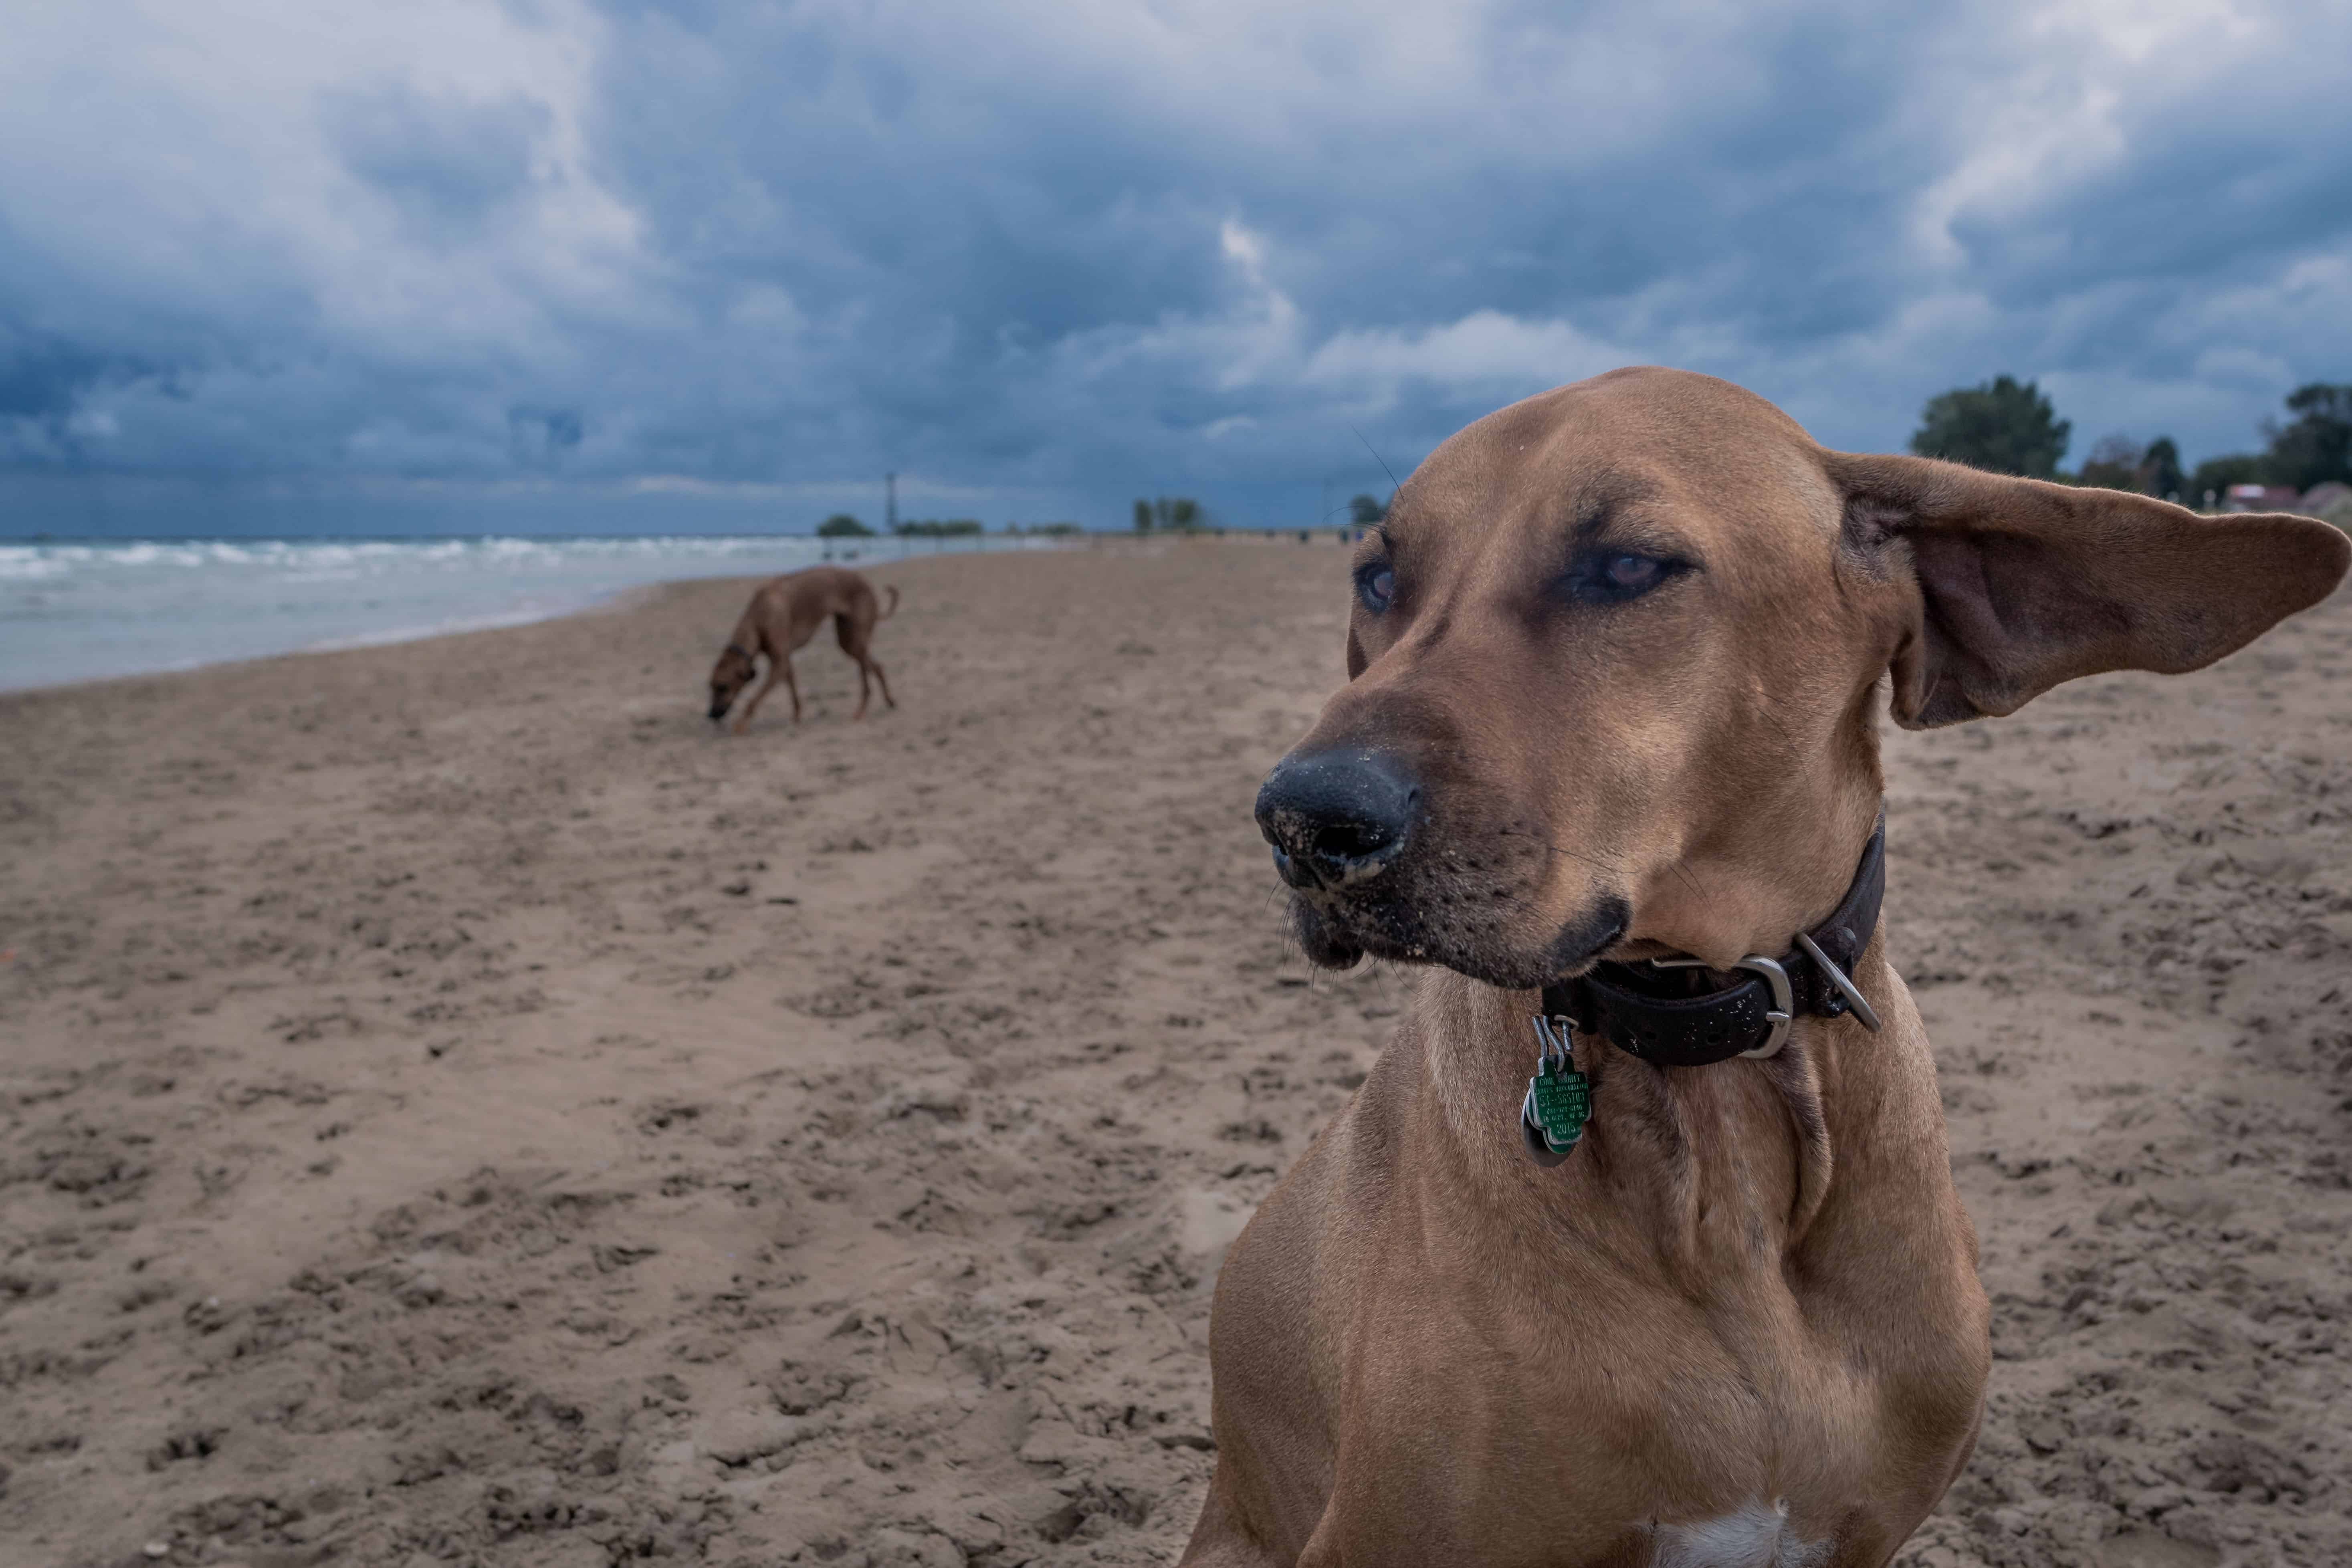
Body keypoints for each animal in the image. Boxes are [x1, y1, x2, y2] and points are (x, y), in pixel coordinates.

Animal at [701, 564, 894, 738]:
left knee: (867, 678)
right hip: (848, 641)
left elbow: (754, 700)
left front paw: (741, 724)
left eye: (723, 687)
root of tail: (865, 582)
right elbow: (793, 690)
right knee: (877, 666)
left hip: (855, 639)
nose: (711, 714)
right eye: (711, 686)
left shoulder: (779, 663)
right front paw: (797, 717)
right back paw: (889, 701)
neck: (758, 618)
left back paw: (862, 711)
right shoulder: (785, 660)